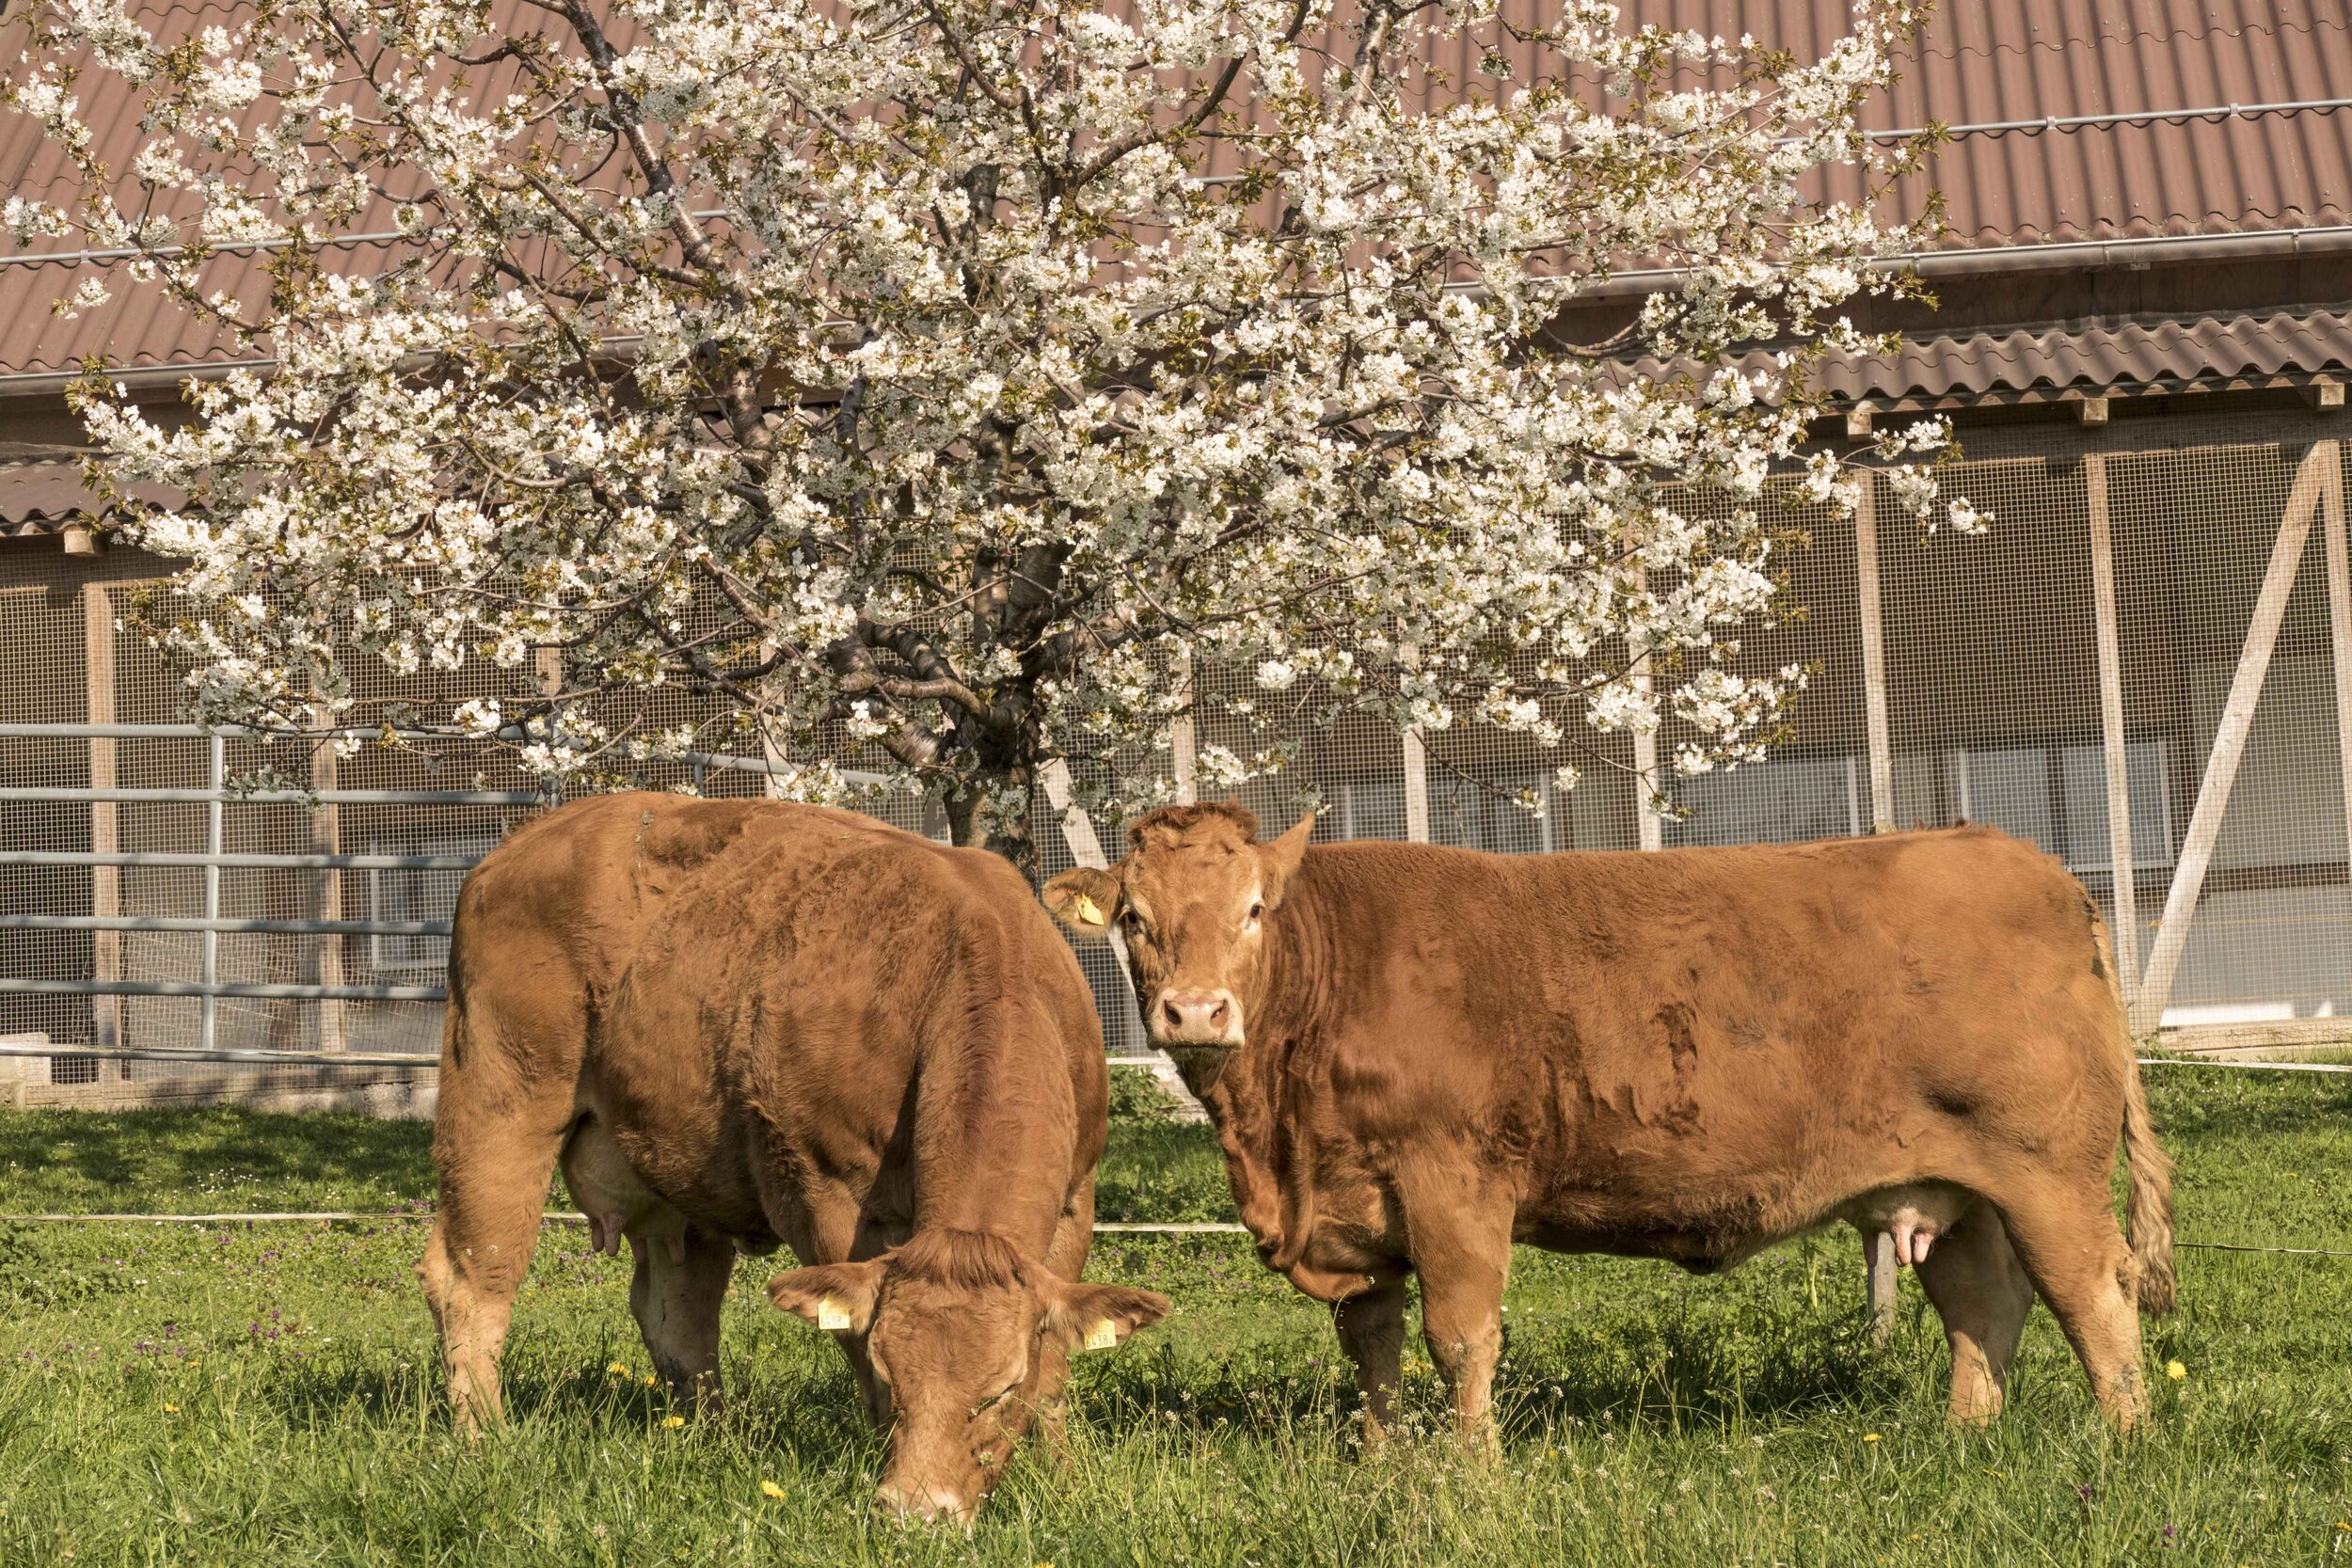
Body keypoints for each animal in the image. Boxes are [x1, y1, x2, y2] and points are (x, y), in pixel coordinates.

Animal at [421, 799, 1167, 1523]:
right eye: (896, 1377)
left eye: (998, 1392)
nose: (915, 1512)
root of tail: (522, 842)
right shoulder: (823, 1192)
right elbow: (856, 1343)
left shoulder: (1076, 1198)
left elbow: (1056, 1366)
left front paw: (1061, 1478)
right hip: (497, 1103)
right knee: (472, 1279)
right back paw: (485, 1438)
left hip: (675, 1172)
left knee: (677, 1312)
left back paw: (712, 1438)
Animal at [1040, 808, 2173, 1448]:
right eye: (1134, 916)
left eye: (1253, 909)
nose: (1194, 1012)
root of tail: (2035, 867)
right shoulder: (1357, 1218)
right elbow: (1373, 1350)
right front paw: (1383, 1467)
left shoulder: (1454, 1183)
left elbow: (1462, 1338)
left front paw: (1473, 1477)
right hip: (1959, 1185)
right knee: (1984, 1302)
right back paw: (1960, 1442)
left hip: (2046, 1169)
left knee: (2097, 1295)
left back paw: (2122, 1450)